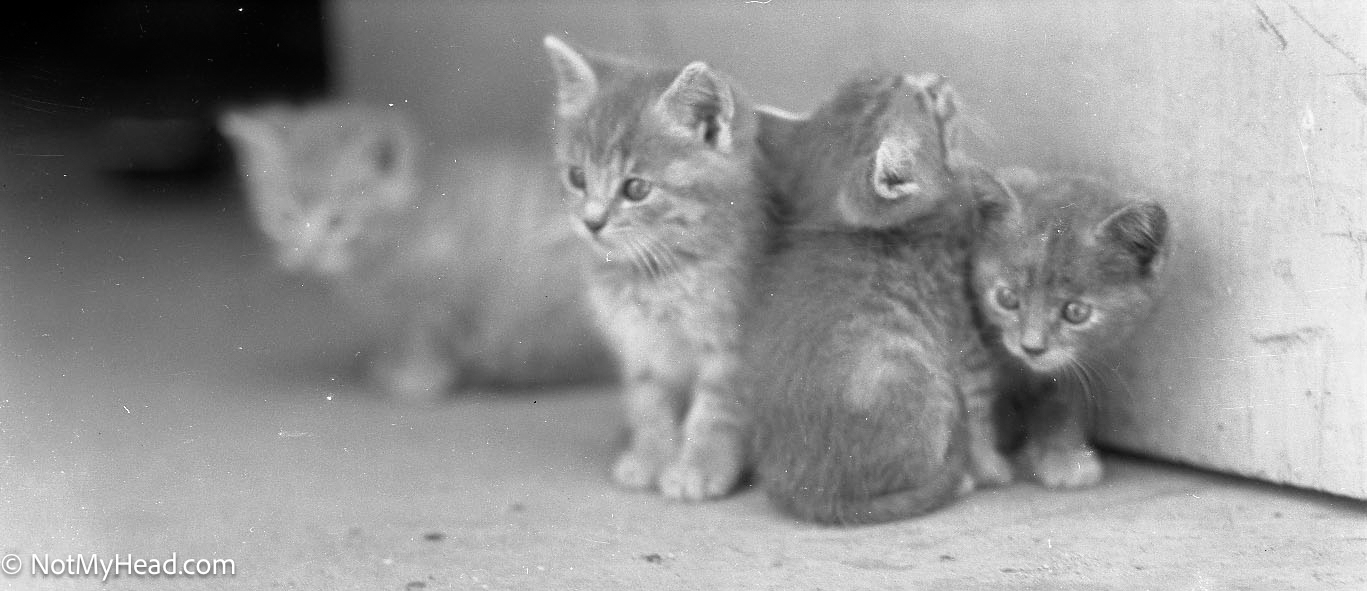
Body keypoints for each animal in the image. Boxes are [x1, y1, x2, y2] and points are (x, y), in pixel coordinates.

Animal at [220, 103, 615, 404]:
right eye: (285, 216)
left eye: (338, 220)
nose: (306, 255)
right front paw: (388, 360)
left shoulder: (441, 289)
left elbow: (423, 336)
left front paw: (412, 380)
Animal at [538, 36, 770, 497]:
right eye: (577, 177)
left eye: (636, 188)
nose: (592, 222)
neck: (657, 276)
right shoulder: (637, 343)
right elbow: (648, 400)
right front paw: (651, 457)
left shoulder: (734, 344)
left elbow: (717, 408)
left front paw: (699, 466)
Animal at [743, 74, 1011, 525]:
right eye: (929, 101)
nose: (936, 79)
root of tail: (812, 494)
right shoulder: (960, 328)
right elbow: (981, 406)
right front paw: (996, 467)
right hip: (923, 390)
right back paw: (958, 480)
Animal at [967, 167, 1170, 489]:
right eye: (1007, 298)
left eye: (1075, 312)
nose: (1032, 347)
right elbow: (970, 395)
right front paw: (981, 466)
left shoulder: (1073, 360)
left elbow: (1061, 396)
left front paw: (1064, 454)